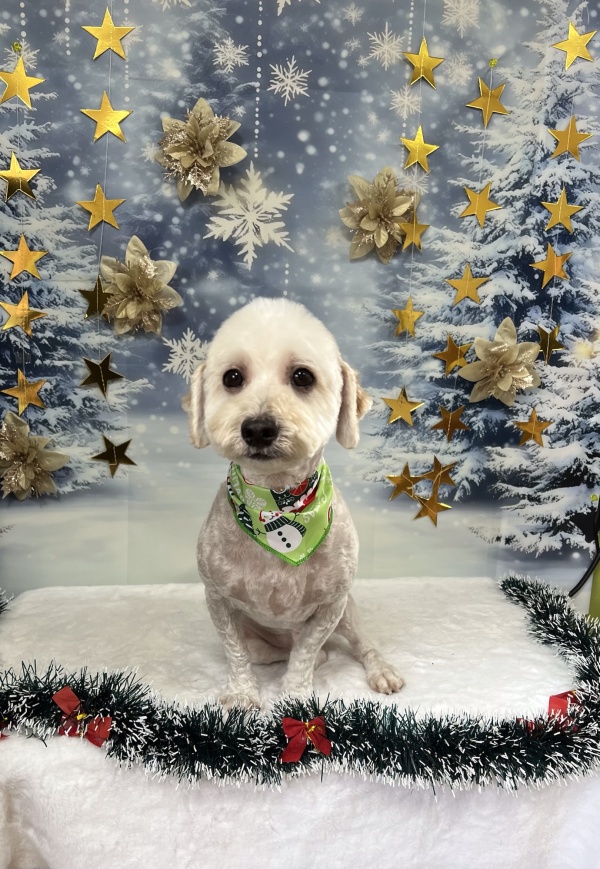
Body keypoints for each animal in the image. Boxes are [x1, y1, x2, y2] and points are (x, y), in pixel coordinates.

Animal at [184, 297, 404, 708]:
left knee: (359, 645)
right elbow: (236, 653)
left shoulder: (331, 605)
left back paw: (380, 670)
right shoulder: (218, 599)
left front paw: (295, 698)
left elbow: (304, 654)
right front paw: (242, 694)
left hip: (349, 612)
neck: (277, 500)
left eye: (303, 376)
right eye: (232, 377)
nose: (258, 428)